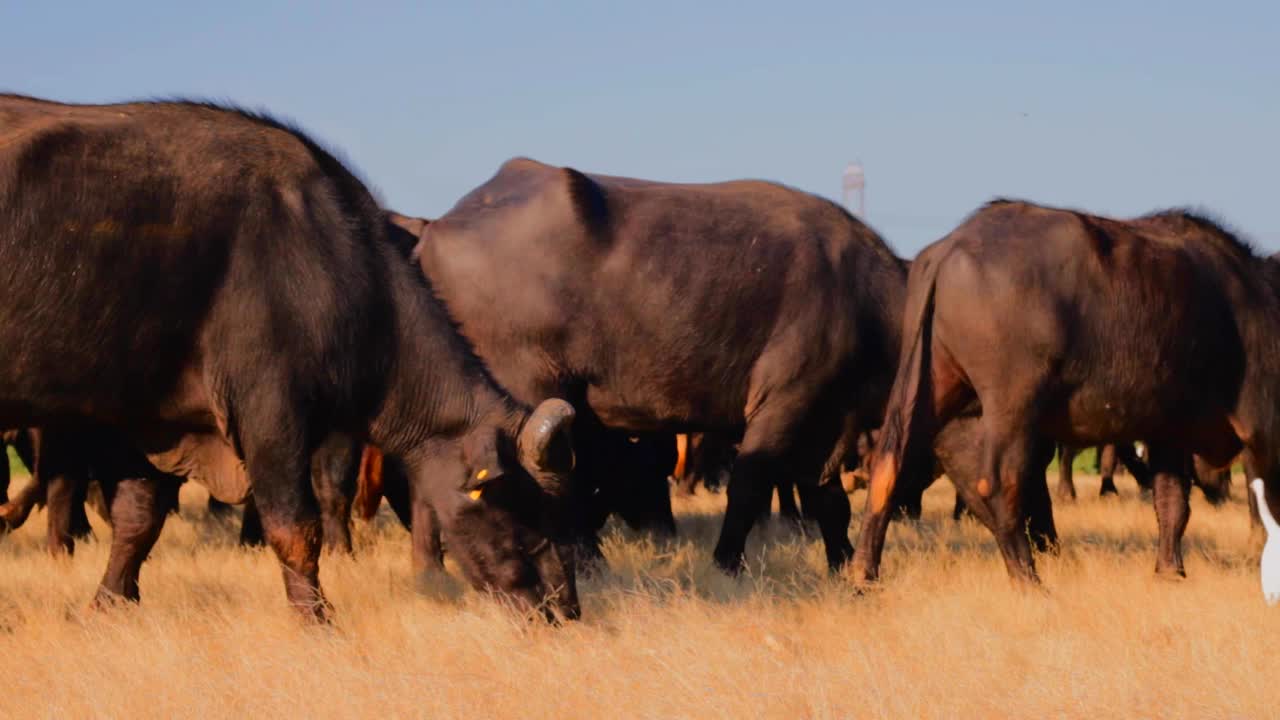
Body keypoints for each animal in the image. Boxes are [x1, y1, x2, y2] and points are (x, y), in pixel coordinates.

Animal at [0, 94, 576, 617]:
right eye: (525, 508)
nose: (563, 610)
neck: (328, 258)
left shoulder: (154, 418)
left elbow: (138, 519)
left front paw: (110, 602)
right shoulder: (271, 416)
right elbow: (295, 530)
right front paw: (317, 618)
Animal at [399, 158, 911, 571]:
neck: (868, 297)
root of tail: (435, 232)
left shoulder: (833, 417)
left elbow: (829, 496)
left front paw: (845, 565)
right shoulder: (784, 402)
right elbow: (749, 485)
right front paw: (726, 564)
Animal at [855, 198, 1274, 579]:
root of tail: (950, 248)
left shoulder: (1167, 430)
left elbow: (1173, 501)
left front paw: (1171, 572)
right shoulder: (1262, 427)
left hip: (929, 381)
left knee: (889, 466)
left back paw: (864, 571)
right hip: (1012, 404)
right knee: (999, 483)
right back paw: (1028, 579)